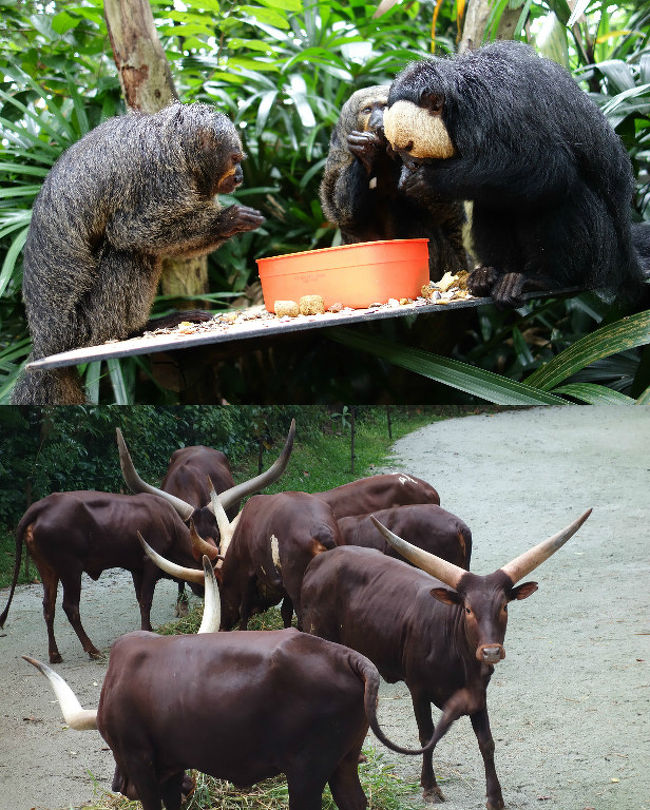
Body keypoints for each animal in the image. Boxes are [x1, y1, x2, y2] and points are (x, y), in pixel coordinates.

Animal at [12, 102, 264, 404]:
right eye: (234, 159)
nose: (240, 175)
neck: (175, 143)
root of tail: (47, 342)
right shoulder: (159, 173)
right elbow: (131, 230)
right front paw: (227, 221)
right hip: (83, 327)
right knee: (127, 253)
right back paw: (134, 329)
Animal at [24, 556, 426, 808]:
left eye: (109, 745)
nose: (118, 787)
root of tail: (348, 656)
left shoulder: (141, 763)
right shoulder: (171, 768)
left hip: (307, 772)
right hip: (343, 762)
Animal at [302, 508, 588, 804]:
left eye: (504, 607)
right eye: (468, 609)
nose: (491, 651)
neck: (458, 658)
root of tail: (319, 562)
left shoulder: (478, 694)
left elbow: (487, 742)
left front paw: (495, 798)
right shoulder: (418, 690)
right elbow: (427, 736)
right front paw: (430, 786)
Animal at [318, 83, 466, 276]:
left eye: (384, 107)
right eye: (368, 110)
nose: (378, 119)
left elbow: (447, 209)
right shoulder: (340, 148)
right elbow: (339, 211)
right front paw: (365, 153)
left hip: (452, 265)